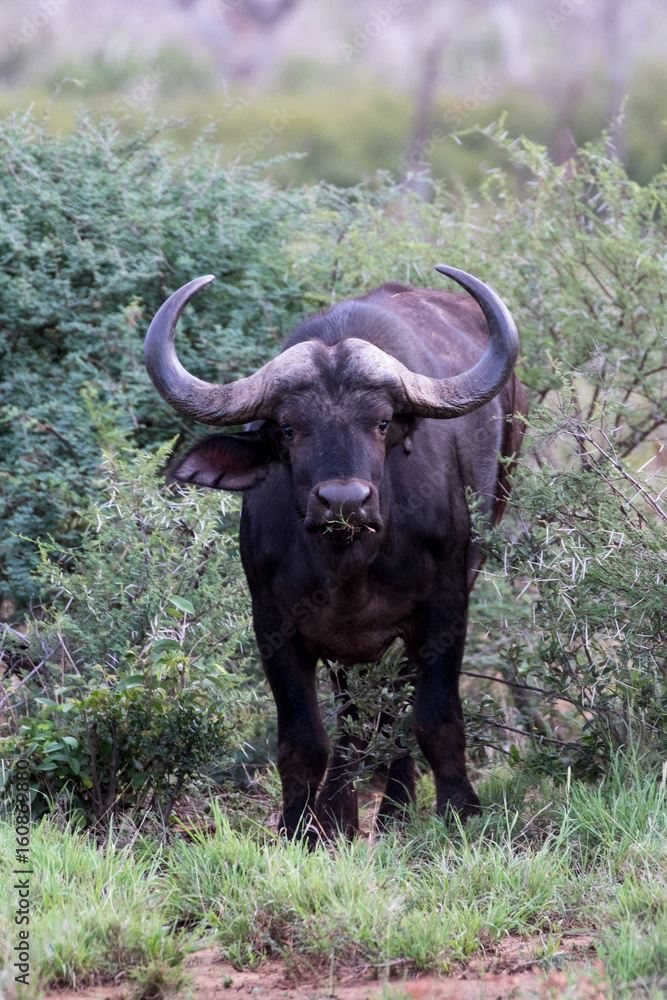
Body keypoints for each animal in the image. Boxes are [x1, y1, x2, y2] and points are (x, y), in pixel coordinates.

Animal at [144, 266, 526, 843]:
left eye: (383, 422)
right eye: (288, 427)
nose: (344, 501)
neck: (349, 567)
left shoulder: (445, 609)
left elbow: (437, 720)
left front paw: (460, 814)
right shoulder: (274, 625)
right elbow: (303, 740)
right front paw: (301, 826)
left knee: (389, 704)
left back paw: (391, 811)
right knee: (355, 710)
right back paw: (346, 813)